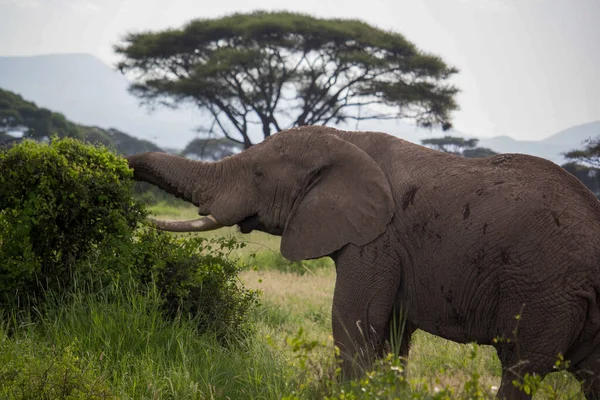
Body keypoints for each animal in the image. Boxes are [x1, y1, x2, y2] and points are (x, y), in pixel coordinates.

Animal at [127, 126, 600, 400]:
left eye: (258, 175)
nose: (120, 164)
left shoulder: (377, 239)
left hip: (544, 292)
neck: (345, 139)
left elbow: (354, 320)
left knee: (520, 368)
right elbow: (391, 333)